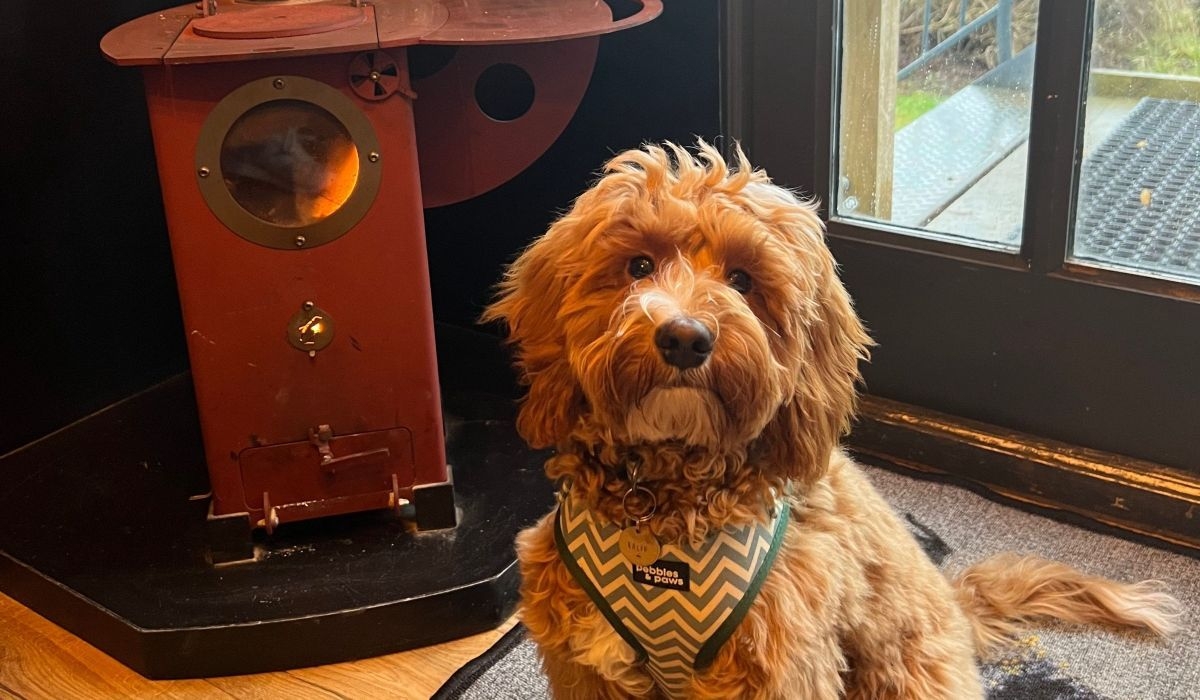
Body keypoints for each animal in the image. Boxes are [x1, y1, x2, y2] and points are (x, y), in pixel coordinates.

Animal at [480, 142, 1180, 700]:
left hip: (904, 670)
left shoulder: (777, 667)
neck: (664, 500)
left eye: (743, 279)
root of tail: (957, 610)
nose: (684, 338)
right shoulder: (586, 660)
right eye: (639, 265)